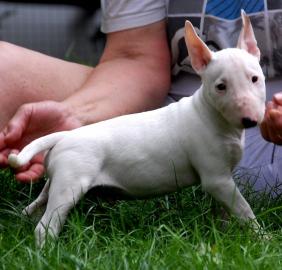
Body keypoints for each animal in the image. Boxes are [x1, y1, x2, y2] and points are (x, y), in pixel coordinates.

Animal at [7, 11, 266, 247]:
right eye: (221, 86)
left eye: (255, 79)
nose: (250, 120)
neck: (212, 115)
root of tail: (65, 135)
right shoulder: (216, 179)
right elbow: (244, 209)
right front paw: (263, 238)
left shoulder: (222, 179)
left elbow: (226, 210)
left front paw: (224, 234)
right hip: (69, 186)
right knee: (45, 227)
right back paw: (47, 253)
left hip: (58, 181)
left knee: (34, 208)